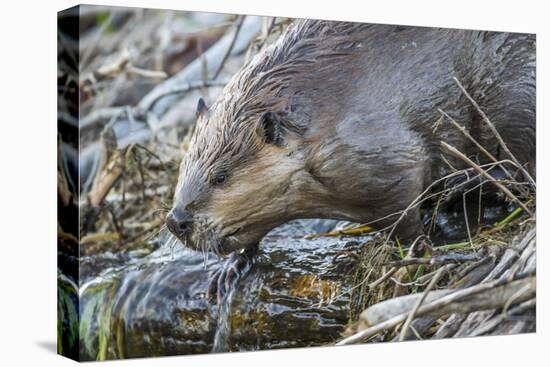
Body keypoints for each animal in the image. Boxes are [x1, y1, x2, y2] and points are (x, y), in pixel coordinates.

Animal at [166, 19, 536, 302]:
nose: (176, 221)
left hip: (514, 94)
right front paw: (227, 272)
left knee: (519, 168)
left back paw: (461, 186)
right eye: (183, 170)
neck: (320, 113)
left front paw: (414, 254)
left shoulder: (378, 151)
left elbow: (406, 207)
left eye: (220, 177)